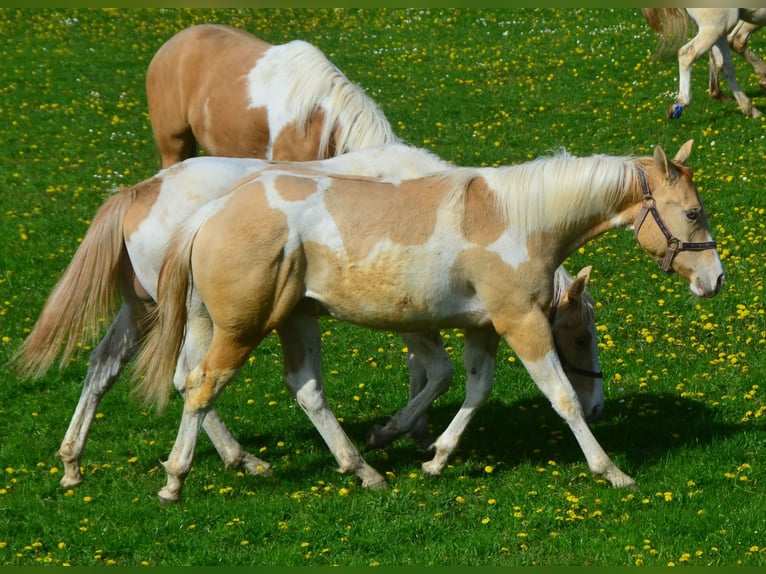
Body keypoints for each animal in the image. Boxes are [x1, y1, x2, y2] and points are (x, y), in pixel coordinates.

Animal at [9, 144, 604, 490]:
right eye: (581, 337)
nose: (597, 404)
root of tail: (139, 192)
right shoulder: (415, 315)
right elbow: (437, 373)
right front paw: (394, 433)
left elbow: (429, 375)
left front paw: (418, 438)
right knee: (189, 380)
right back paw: (241, 460)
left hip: (145, 311)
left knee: (104, 367)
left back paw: (72, 463)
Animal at [138, 140, 728, 504]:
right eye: (693, 213)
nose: (716, 279)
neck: (520, 221)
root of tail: (209, 214)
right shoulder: (521, 323)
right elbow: (559, 397)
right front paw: (612, 471)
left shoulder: (483, 329)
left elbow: (474, 390)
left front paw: (437, 458)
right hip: (242, 329)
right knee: (203, 386)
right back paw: (176, 480)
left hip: (294, 321)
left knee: (303, 390)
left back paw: (364, 470)